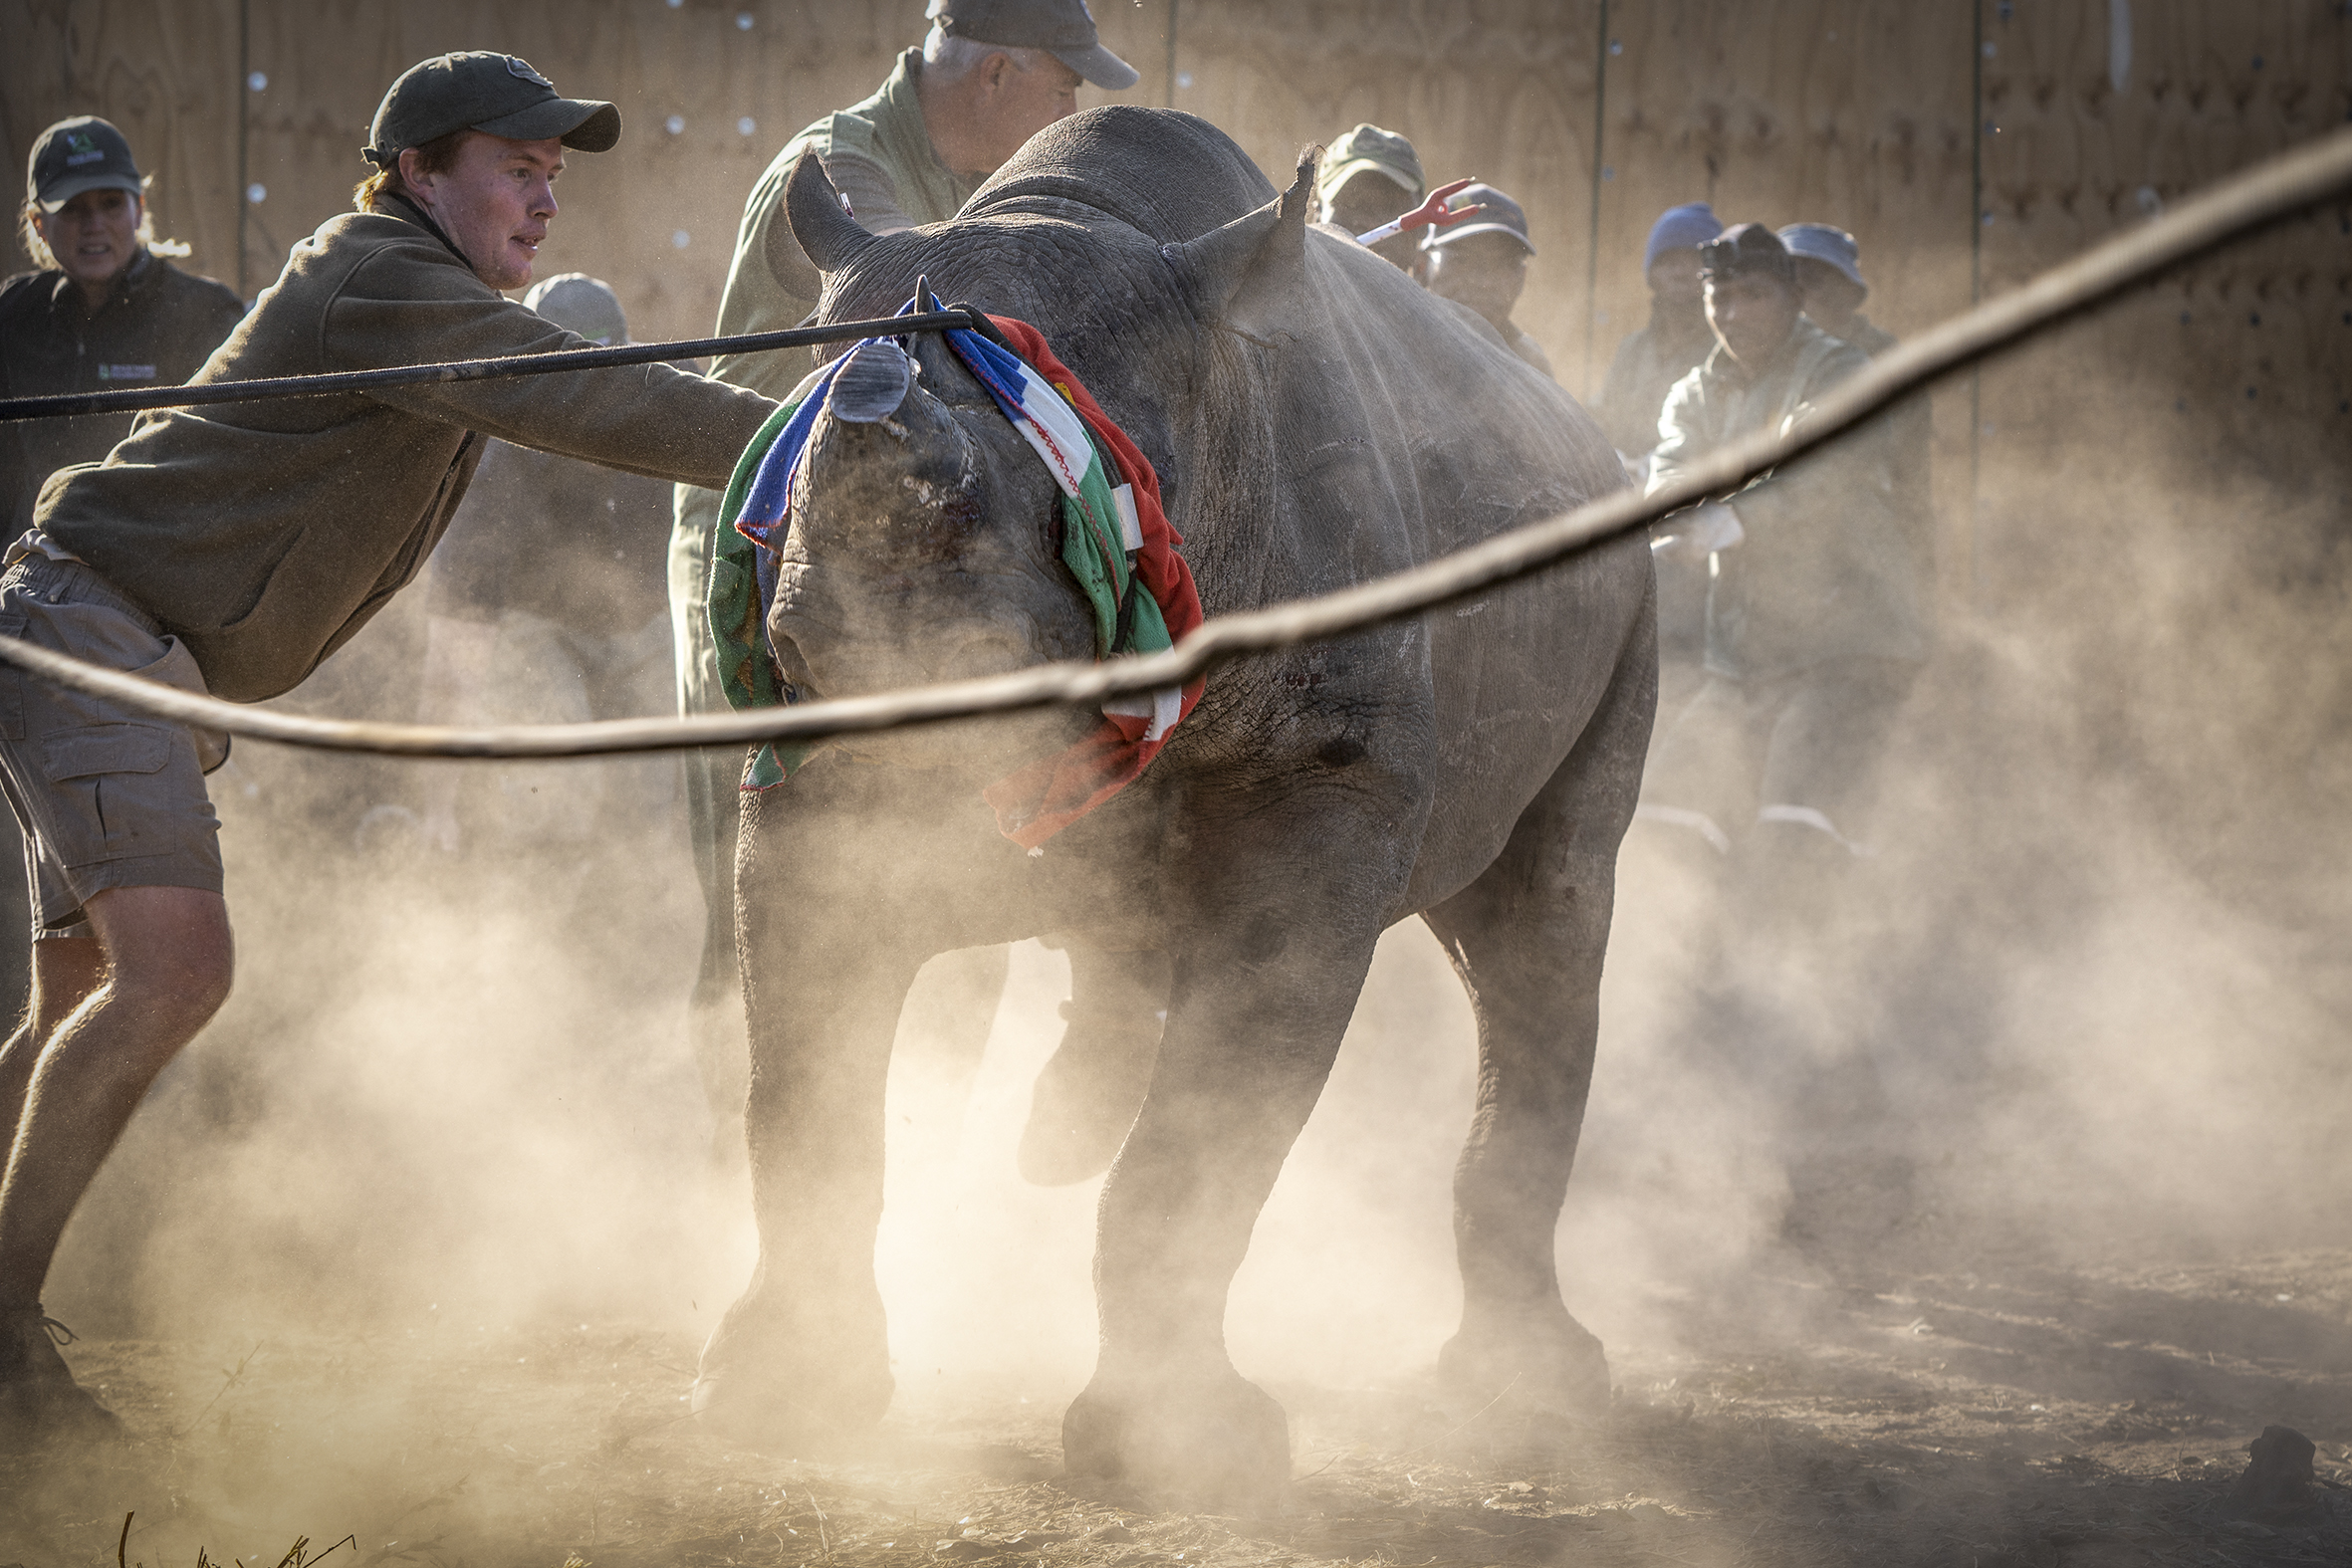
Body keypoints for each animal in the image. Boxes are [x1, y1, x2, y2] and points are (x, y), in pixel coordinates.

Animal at [694, 106, 1655, 1508]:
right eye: (797, 651)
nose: (922, 843)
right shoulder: (810, 783)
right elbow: (801, 1089)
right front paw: (779, 1394)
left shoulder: (1326, 784)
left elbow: (1207, 1135)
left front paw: (1178, 1447)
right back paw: (1056, 1135)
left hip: (1633, 589)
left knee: (1547, 917)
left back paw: (1534, 1385)